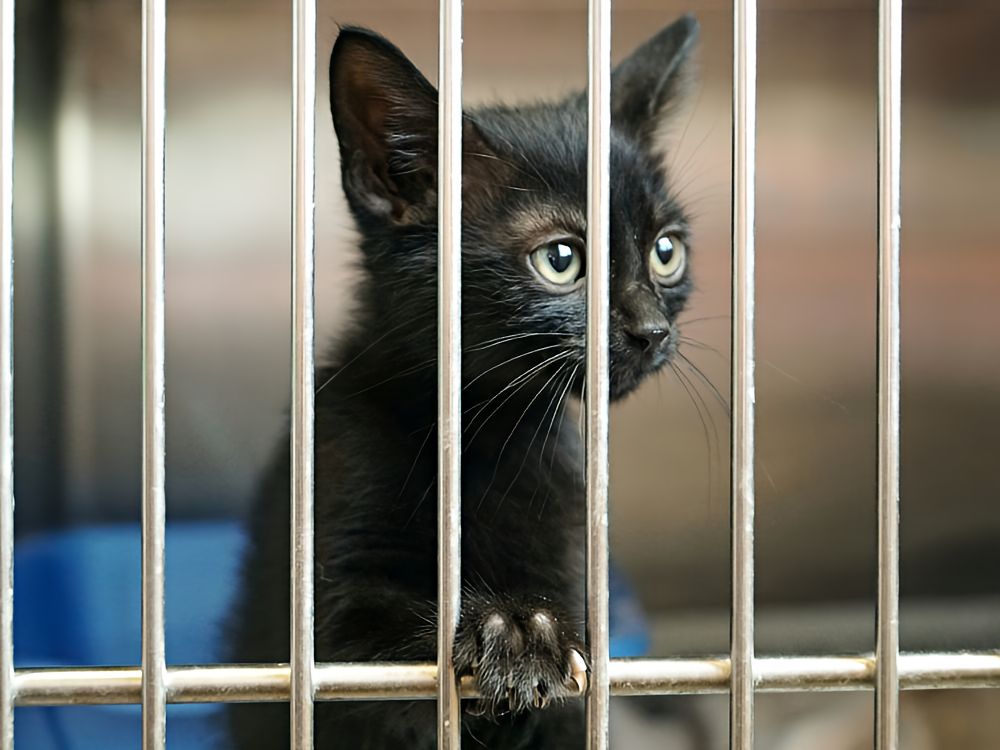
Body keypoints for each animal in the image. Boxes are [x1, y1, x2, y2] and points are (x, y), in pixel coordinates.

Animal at [227, 17, 696, 750]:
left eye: (665, 250)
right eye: (561, 260)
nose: (653, 330)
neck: (482, 430)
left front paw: (528, 626)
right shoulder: (330, 597)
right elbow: (364, 649)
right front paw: (509, 631)